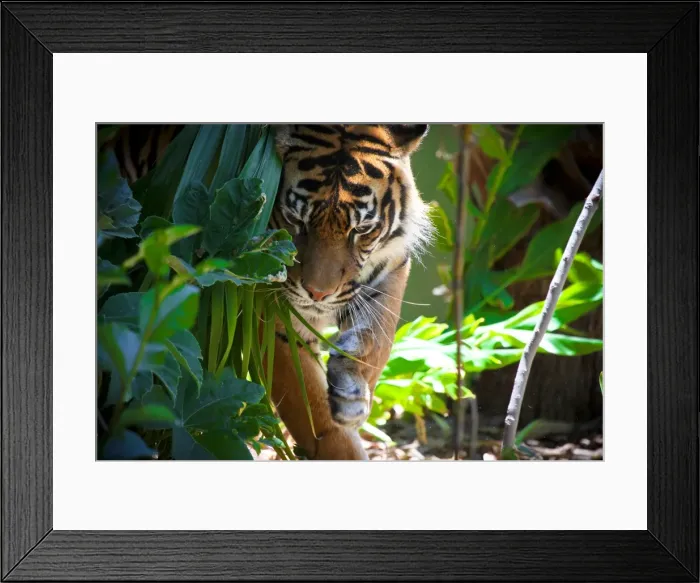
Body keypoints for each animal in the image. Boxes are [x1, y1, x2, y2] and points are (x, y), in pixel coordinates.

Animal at [269, 124, 433, 460]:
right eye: (295, 220)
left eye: (362, 230)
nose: (317, 293)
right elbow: (312, 407)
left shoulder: (392, 264)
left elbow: (380, 337)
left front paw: (354, 392)